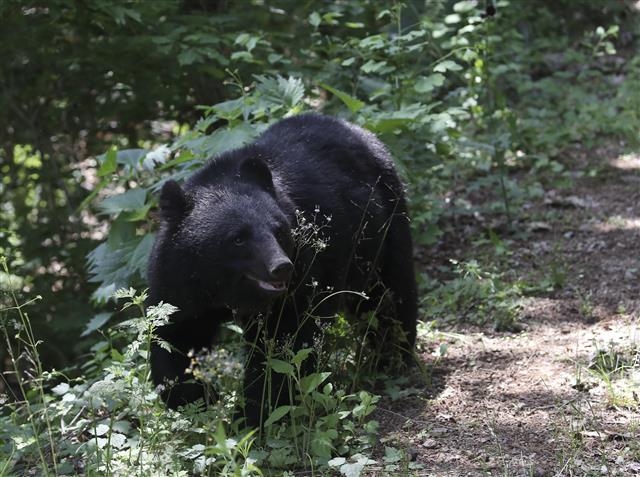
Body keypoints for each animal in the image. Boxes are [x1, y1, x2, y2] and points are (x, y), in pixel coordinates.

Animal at [148, 112, 418, 424]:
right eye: (237, 238)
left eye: (278, 230)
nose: (281, 268)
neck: (225, 289)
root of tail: (361, 131)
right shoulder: (180, 280)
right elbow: (173, 334)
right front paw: (196, 397)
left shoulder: (305, 271)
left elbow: (286, 343)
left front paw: (253, 414)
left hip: (384, 229)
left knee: (389, 296)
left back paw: (391, 357)